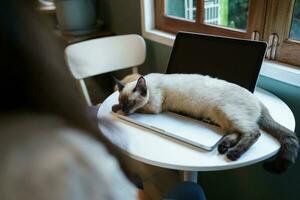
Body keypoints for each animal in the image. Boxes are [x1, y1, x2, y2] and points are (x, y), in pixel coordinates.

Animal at [112, 73, 298, 173]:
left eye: (130, 103)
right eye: (122, 101)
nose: (125, 110)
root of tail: (258, 100)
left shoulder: (154, 108)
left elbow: (141, 109)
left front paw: (116, 110)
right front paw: (115, 108)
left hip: (228, 112)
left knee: (253, 132)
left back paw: (233, 153)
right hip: (223, 117)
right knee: (237, 133)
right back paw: (223, 147)